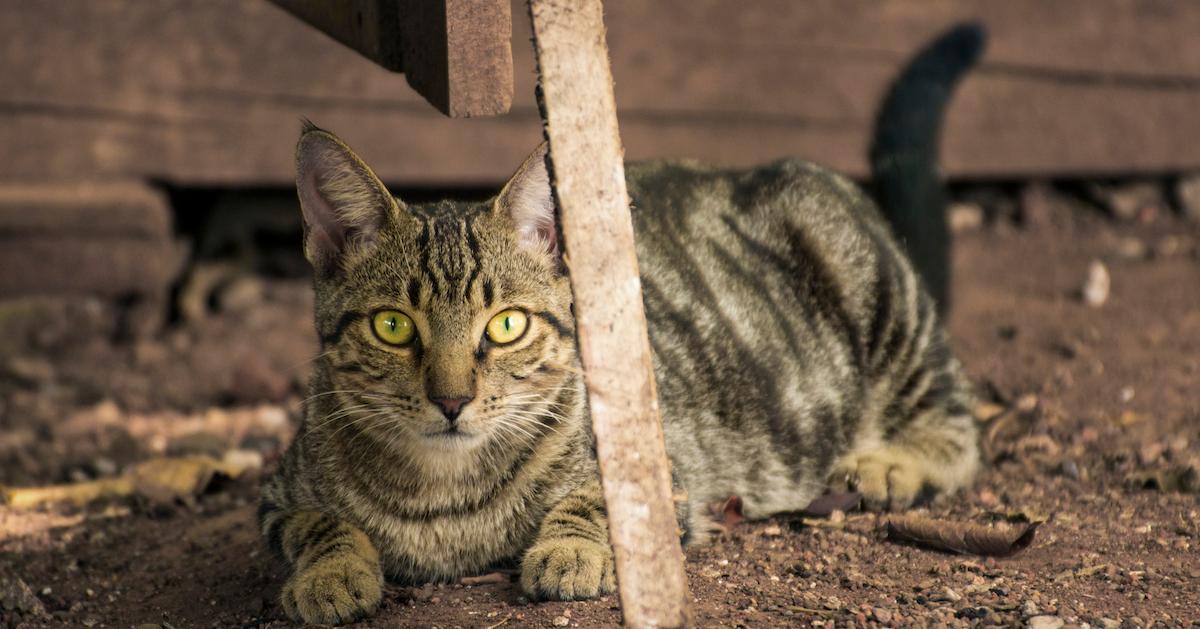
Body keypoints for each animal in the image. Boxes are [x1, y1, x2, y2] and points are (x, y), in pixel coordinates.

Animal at [258, 24, 979, 624]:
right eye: (393, 327)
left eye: (507, 324)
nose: (452, 399)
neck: (446, 500)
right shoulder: (275, 497)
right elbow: (317, 524)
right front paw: (330, 573)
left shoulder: (667, 473)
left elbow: (598, 500)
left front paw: (569, 547)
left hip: (871, 281)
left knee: (959, 420)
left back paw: (891, 462)